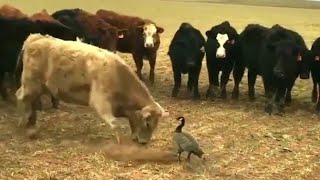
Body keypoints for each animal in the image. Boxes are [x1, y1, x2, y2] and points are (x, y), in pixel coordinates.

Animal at [15, 33, 170, 144]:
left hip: (39, 88)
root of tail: (35, 37)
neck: (118, 75)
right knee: (21, 98)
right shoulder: (100, 101)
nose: (144, 142)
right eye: (148, 124)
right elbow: (115, 124)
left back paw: (32, 123)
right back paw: (23, 124)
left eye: (155, 125)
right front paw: (120, 143)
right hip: (30, 84)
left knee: (31, 102)